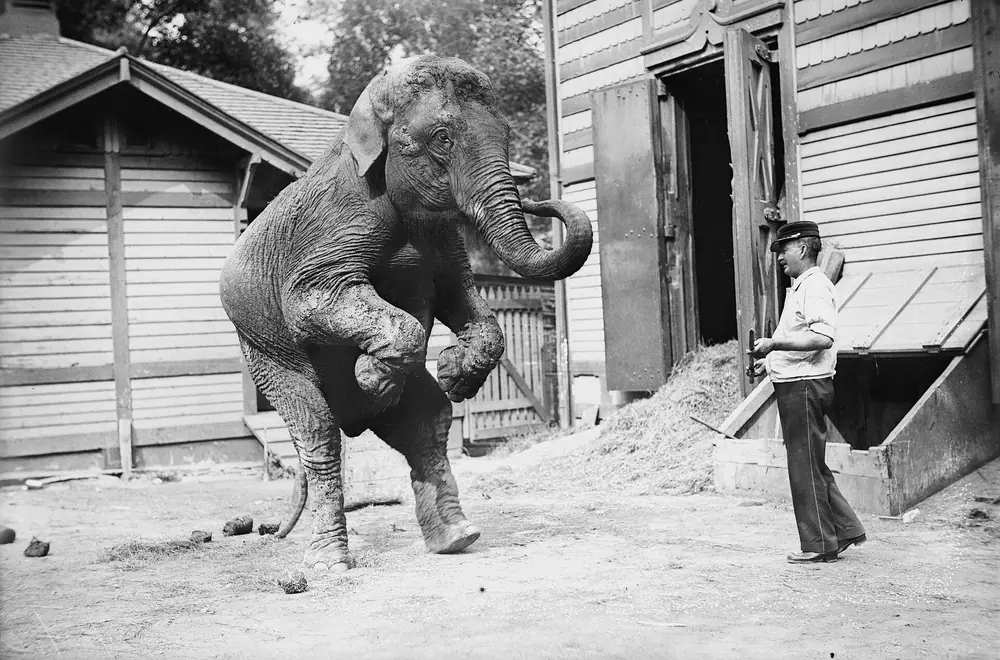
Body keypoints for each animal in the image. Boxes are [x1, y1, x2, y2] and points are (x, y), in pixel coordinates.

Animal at [219, 55, 593, 571]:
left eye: (507, 133)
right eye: (442, 138)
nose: (540, 198)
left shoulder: (443, 241)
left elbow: (460, 296)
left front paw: (452, 373)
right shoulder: (332, 227)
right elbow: (310, 300)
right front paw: (372, 377)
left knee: (428, 421)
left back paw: (457, 537)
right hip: (263, 351)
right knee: (319, 431)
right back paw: (331, 561)